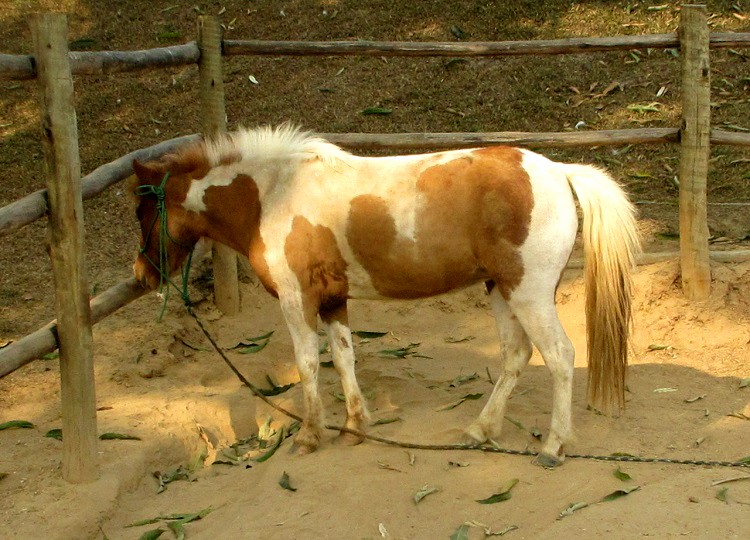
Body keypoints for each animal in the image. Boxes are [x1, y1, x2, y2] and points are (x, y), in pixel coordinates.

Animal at [129, 125, 640, 468]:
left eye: (140, 211)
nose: (142, 274)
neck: (273, 194)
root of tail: (557, 170)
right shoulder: (333, 300)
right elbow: (344, 358)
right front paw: (355, 427)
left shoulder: (298, 301)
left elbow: (308, 364)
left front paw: (309, 436)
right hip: (501, 289)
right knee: (516, 355)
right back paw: (481, 429)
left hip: (529, 293)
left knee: (559, 356)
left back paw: (553, 446)